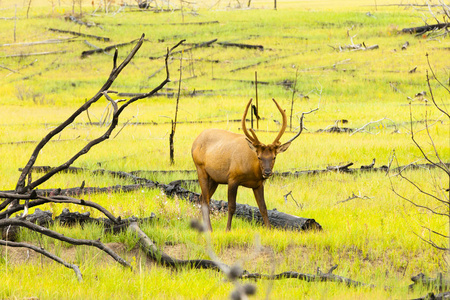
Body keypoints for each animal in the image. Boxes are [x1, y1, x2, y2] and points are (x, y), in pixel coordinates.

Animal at [192, 97, 304, 231]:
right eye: (259, 157)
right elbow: (231, 207)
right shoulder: (232, 178)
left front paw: (269, 229)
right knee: (205, 199)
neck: (252, 171)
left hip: (214, 178)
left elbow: (263, 208)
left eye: (274, 157)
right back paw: (209, 228)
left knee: (202, 197)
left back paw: (202, 226)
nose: (267, 172)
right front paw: (228, 229)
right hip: (200, 169)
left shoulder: (258, 184)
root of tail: (195, 142)